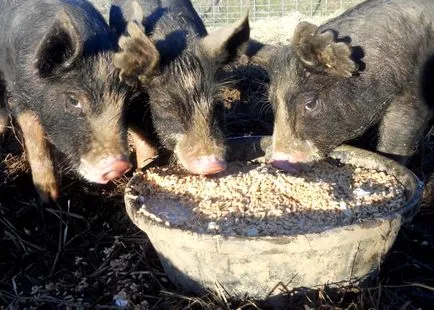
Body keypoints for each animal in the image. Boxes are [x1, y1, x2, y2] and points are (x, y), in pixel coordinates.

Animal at [0, 0, 132, 202]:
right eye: (73, 100)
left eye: (124, 102)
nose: (119, 167)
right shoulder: (19, 93)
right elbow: (36, 139)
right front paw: (50, 198)